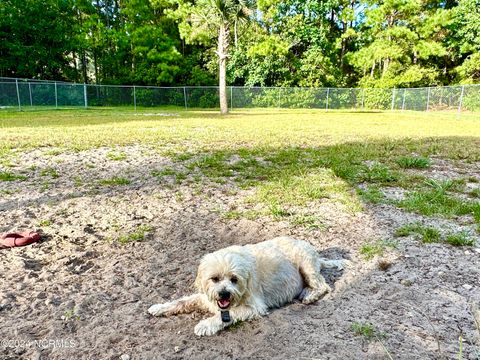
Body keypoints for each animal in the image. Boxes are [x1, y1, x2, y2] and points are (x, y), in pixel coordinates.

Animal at [148, 235, 346, 336]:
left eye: (234, 279)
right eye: (214, 278)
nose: (224, 294)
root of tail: (317, 256)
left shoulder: (254, 307)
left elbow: (224, 316)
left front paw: (204, 325)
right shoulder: (205, 297)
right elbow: (182, 301)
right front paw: (160, 307)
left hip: (305, 264)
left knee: (323, 285)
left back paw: (309, 295)